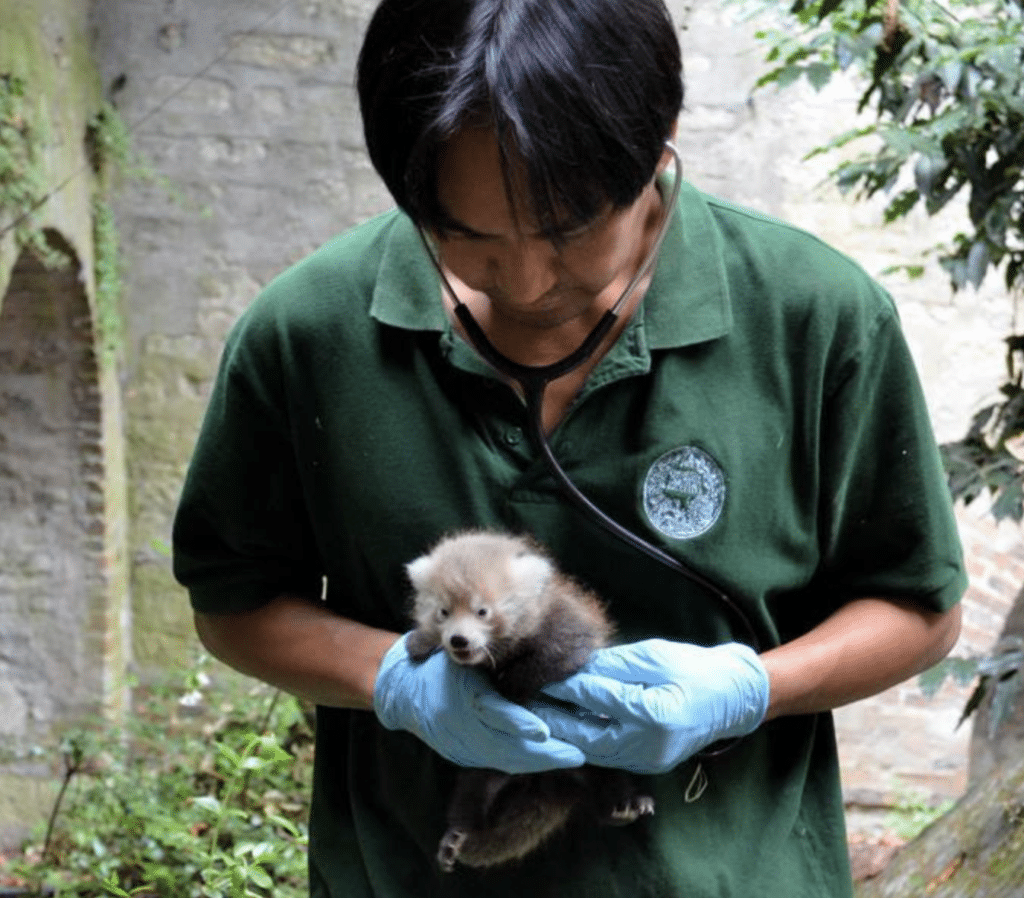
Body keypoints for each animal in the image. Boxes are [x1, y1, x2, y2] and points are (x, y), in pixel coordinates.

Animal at [403, 528, 651, 872]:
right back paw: (456, 836)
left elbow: (546, 664)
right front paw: (420, 642)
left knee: (608, 777)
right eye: (443, 611)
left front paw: (511, 686)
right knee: (469, 798)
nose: (458, 640)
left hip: (599, 755)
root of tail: (550, 779)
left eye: (482, 611)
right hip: (484, 764)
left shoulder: (568, 632)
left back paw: (625, 805)